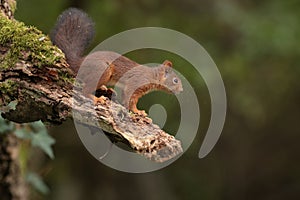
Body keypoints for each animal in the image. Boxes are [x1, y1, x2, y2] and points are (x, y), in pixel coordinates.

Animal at [50, 7, 183, 115]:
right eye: (175, 80)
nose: (181, 91)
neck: (152, 76)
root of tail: (80, 62)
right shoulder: (136, 82)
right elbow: (130, 99)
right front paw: (137, 111)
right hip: (103, 70)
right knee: (85, 90)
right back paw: (96, 98)